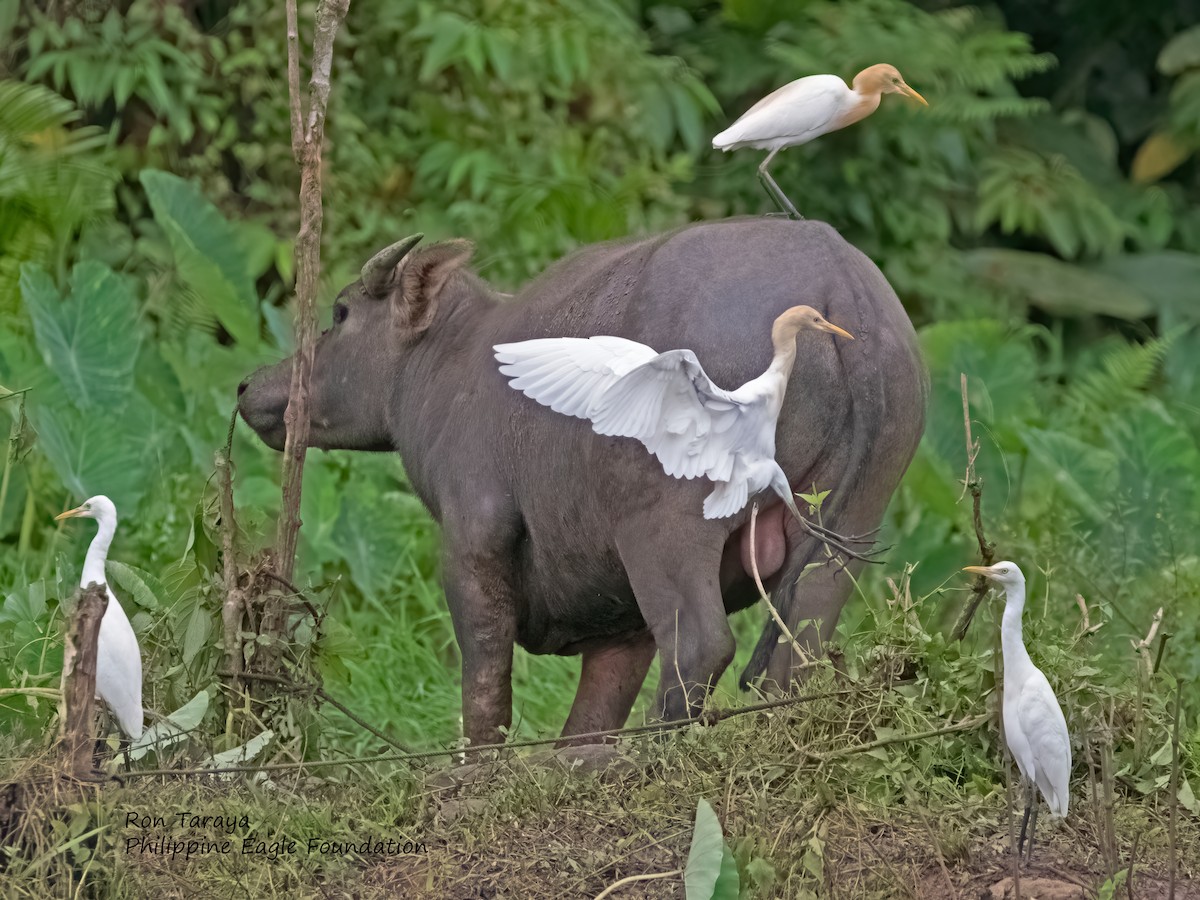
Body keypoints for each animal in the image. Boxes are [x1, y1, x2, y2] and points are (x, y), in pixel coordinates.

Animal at [236, 217, 926, 748]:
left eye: (342, 312)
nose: (248, 386)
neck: (450, 364)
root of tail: (840, 290)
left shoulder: (474, 540)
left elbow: (485, 673)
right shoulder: (618, 616)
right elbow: (591, 713)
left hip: (665, 529)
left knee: (700, 646)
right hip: (845, 533)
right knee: (795, 652)